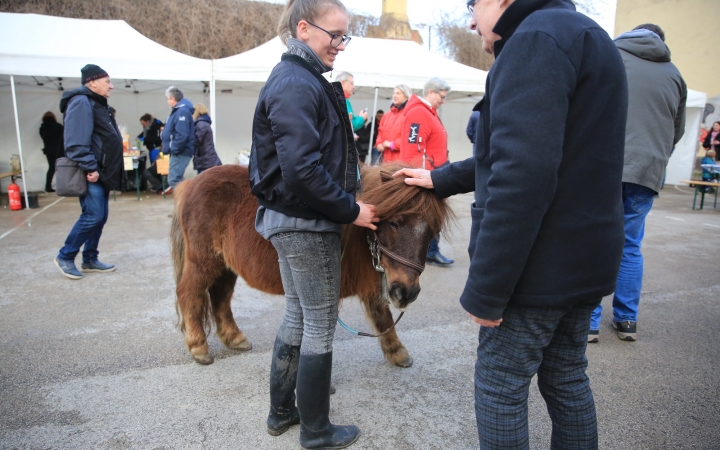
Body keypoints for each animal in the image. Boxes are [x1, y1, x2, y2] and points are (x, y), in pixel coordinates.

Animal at [171, 163, 448, 368]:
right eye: (394, 223)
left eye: (433, 232)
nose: (406, 293)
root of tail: (189, 184)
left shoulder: (372, 281)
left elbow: (382, 315)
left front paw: (397, 352)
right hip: (203, 261)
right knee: (189, 293)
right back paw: (198, 346)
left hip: (225, 266)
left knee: (220, 296)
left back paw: (234, 337)